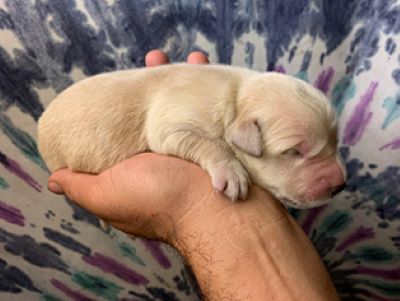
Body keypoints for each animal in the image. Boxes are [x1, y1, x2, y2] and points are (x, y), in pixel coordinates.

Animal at [38, 63, 346, 209]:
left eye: (336, 142)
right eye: (294, 151)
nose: (341, 186)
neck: (237, 97)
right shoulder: (172, 125)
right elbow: (211, 143)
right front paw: (231, 173)